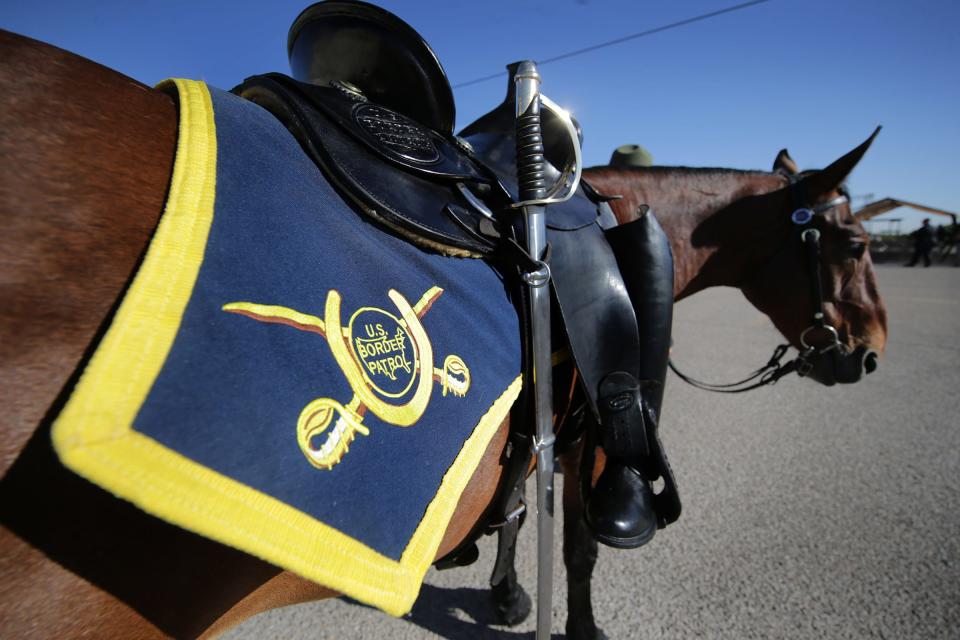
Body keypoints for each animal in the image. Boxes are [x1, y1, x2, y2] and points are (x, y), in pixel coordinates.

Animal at [0, 31, 884, 640]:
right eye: (855, 242)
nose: (870, 350)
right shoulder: (583, 429)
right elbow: (578, 545)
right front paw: (573, 619)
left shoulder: (531, 420)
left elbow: (518, 502)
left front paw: (504, 591)